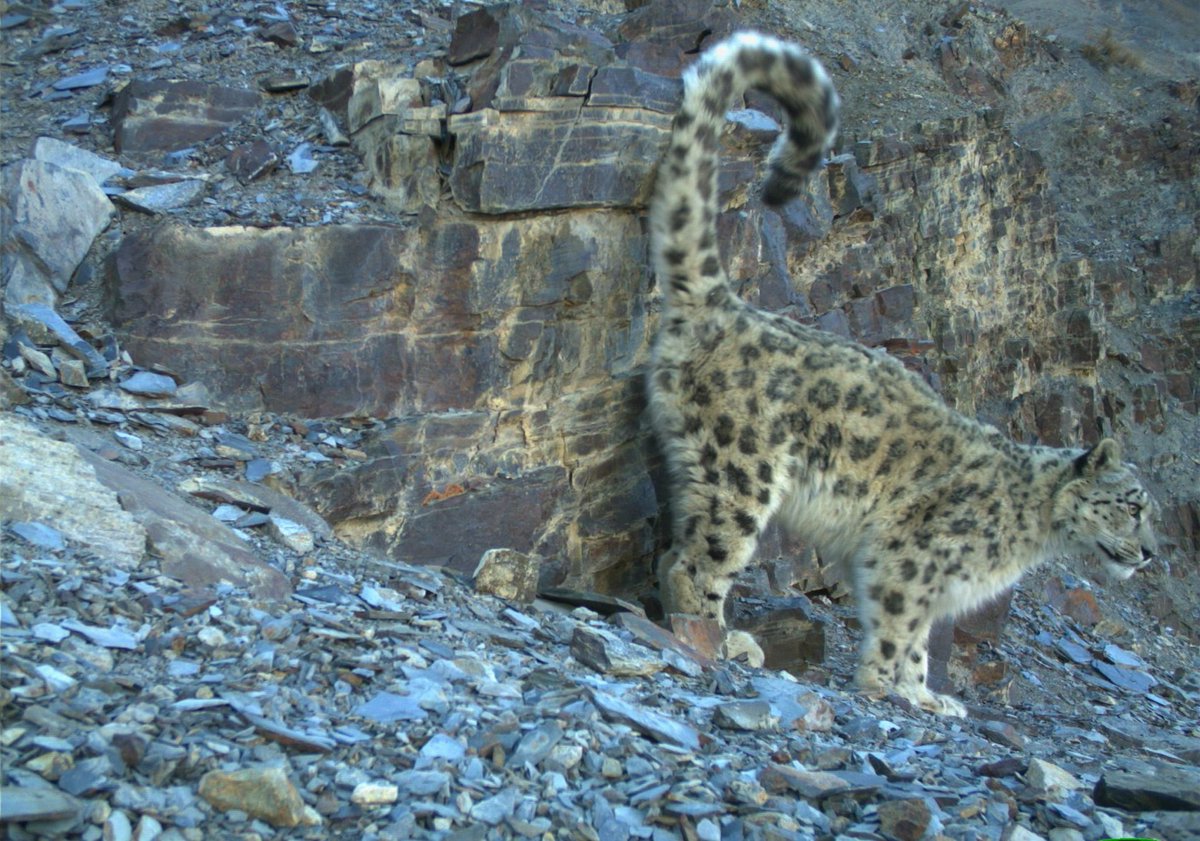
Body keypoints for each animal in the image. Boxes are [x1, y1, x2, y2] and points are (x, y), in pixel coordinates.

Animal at [652, 32, 1156, 715]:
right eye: (1130, 507)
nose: (1151, 554)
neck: (1033, 533)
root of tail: (729, 306)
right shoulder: (912, 557)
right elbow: (898, 622)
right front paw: (886, 688)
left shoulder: (934, 581)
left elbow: (920, 635)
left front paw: (925, 695)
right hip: (741, 469)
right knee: (698, 561)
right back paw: (720, 639)